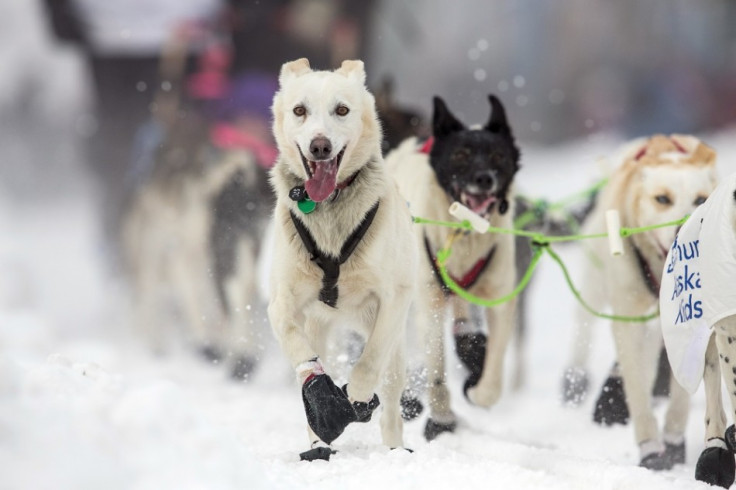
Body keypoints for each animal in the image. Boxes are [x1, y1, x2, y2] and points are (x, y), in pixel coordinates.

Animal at [388, 94, 520, 440]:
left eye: (498, 155)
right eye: (461, 155)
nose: (484, 179)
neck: (464, 234)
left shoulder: (499, 299)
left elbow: (493, 375)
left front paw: (478, 390)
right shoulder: (430, 301)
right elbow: (436, 371)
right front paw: (442, 417)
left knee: (463, 323)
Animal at [568, 132, 716, 468]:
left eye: (700, 199)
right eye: (662, 199)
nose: (683, 229)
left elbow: (680, 391)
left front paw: (673, 439)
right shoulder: (628, 319)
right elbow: (636, 385)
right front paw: (650, 446)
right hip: (595, 286)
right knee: (585, 325)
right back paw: (577, 378)